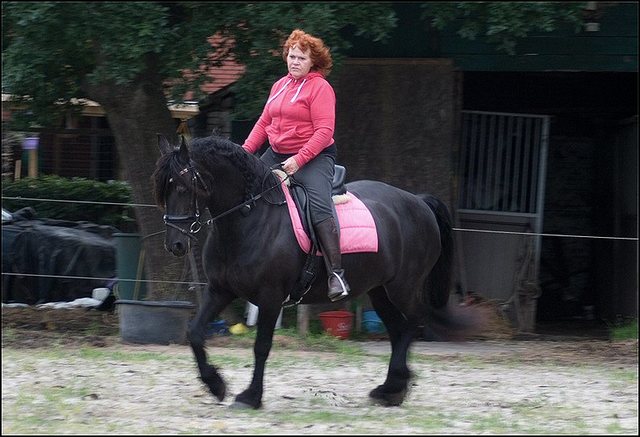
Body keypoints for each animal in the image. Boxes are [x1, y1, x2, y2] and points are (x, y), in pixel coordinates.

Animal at [154, 134, 484, 408]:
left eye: (182, 186)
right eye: (163, 189)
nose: (176, 244)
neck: (248, 218)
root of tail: (418, 201)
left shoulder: (271, 297)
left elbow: (261, 346)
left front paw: (250, 396)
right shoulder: (220, 290)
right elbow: (195, 332)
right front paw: (216, 385)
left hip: (403, 286)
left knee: (414, 320)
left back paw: (394, 385)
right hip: (379, 290)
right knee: (398, 328)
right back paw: (392, 388)